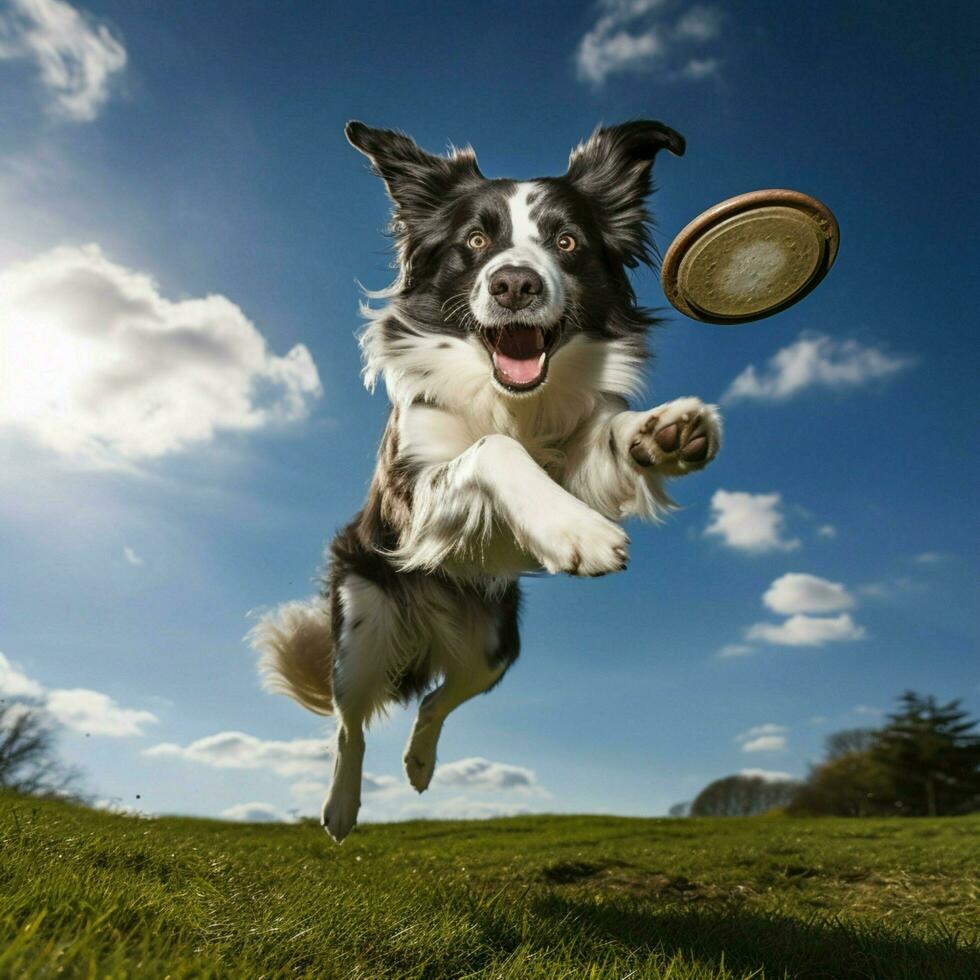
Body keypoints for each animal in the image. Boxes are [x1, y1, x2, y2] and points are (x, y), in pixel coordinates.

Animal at [249, 120, 724, 844]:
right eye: (476, 242)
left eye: (566, 242)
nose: (515, 286)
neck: (506, 396)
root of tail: (427, 628)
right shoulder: (415, 497)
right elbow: (493, 450)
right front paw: (577, 531)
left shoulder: (575, 452)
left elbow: (606, 436)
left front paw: (665, 432)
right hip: (363, 626)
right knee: (349, 722)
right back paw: (340, 808)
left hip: (493, 645)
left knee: (438, 699)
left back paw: (419, 764)